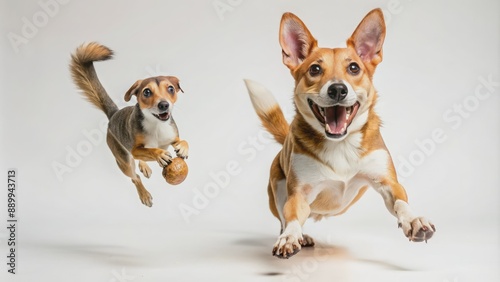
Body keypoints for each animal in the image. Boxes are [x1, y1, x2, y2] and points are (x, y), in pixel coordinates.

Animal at [69, 43, 188, 208]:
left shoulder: (172, 137)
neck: (157, 124)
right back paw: (144, 194)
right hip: (124, 162)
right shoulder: (135, 150)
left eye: (171, 88)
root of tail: (113, 114)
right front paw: (159, 154)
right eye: (147, 92)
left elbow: (183, 141)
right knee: (135, 177)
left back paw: (144, 166)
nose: (164, 105)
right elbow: (149, 150)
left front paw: (182, 148)